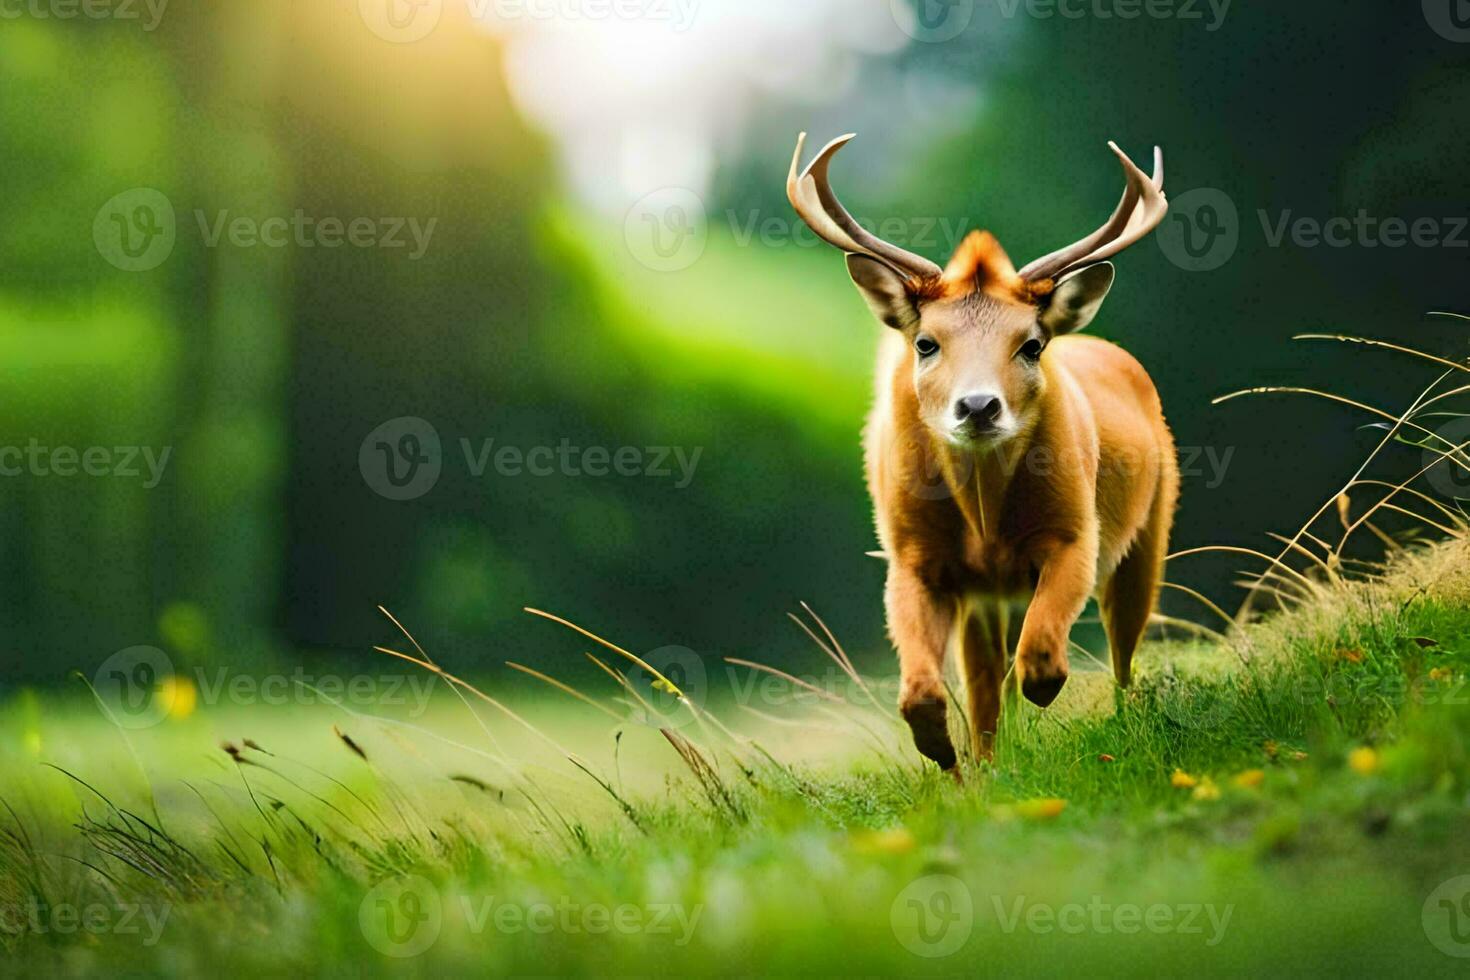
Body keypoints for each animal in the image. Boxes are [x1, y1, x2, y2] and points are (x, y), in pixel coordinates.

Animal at [787, 132, 1176, 775]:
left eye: (1031, 344)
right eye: (925, 343)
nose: (977, 407)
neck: (984, 517)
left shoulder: (1076, 534)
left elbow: (1039, 657)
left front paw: (1035, 707)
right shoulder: (914, 558)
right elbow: (930, 690)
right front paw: (949, 756)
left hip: (1150, 531)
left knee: (1122, 648)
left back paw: (1121, 725)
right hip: (985, 595)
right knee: (987, 675)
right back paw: (992, 757)